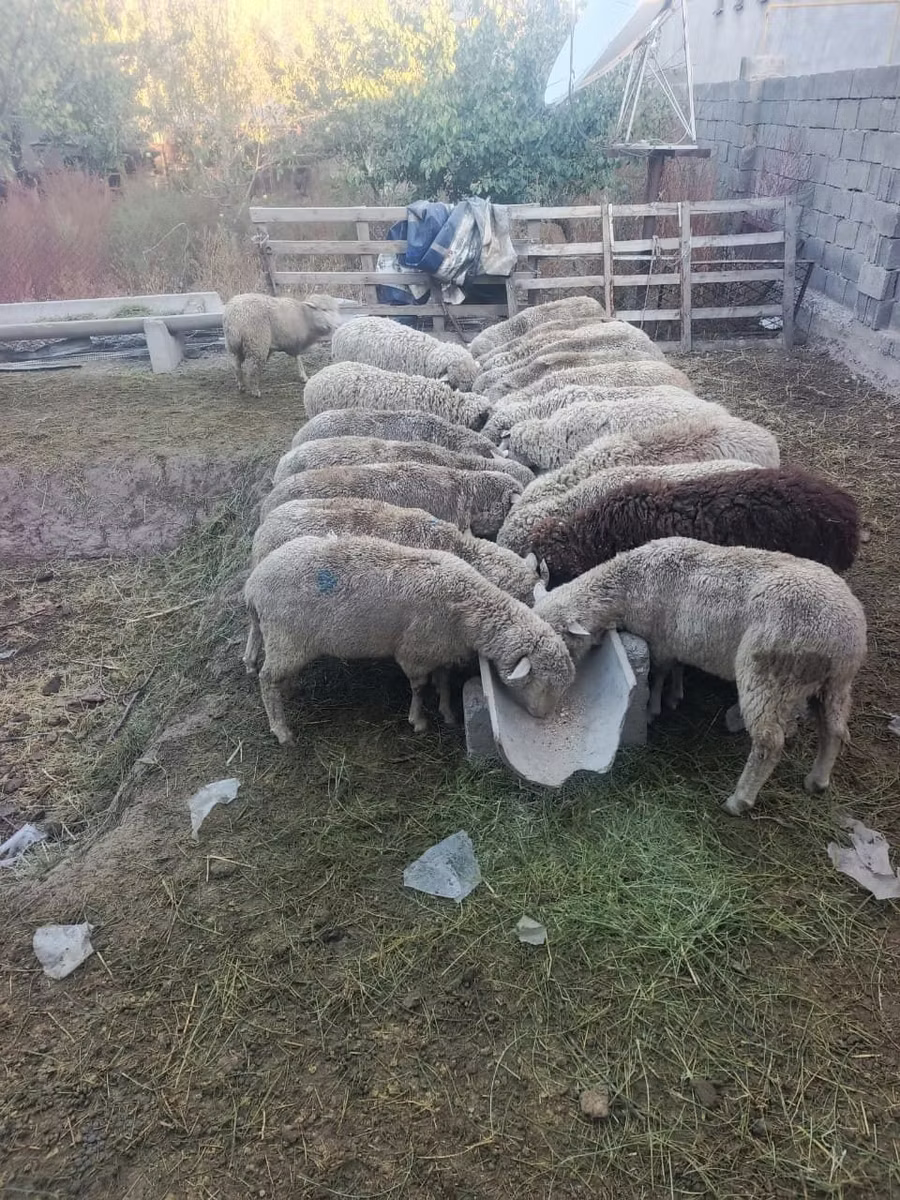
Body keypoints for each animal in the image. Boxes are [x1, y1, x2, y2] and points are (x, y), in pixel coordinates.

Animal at [244, 535, 576, 742]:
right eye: (541, 683)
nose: (542, 717)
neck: (468, 605)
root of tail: (253, 584)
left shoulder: (441, 651)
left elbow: (443, 681)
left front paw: (447, 712)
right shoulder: (414, 654)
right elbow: (419, 687)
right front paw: (419, 720)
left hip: (278, 636)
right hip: (286, 640)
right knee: (266, 680)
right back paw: (281, 730)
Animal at [534, 537, 867, 815]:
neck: (628, 584)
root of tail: (846, 632)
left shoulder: (661, 642)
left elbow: (659, 675)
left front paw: (654, 708)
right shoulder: (679, 641)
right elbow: (678, 669)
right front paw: (675, 695)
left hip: (771, 675)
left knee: (769, 743)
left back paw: (739, 800)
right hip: (835, 683)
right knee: (835, 729)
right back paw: (817, 780)